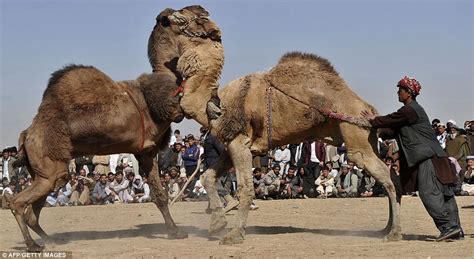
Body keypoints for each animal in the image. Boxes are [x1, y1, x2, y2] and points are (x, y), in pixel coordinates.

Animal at [10, 5, 222, 252]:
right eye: (186, 15)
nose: (204, 12)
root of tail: (26, 135)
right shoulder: (154, 138)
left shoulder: (145, 151)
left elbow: (159, 195)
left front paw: (175, 232)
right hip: (48, 163)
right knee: (18, 202)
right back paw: (33, 245)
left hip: (44, 170)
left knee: (37, 206)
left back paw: (52, 240)